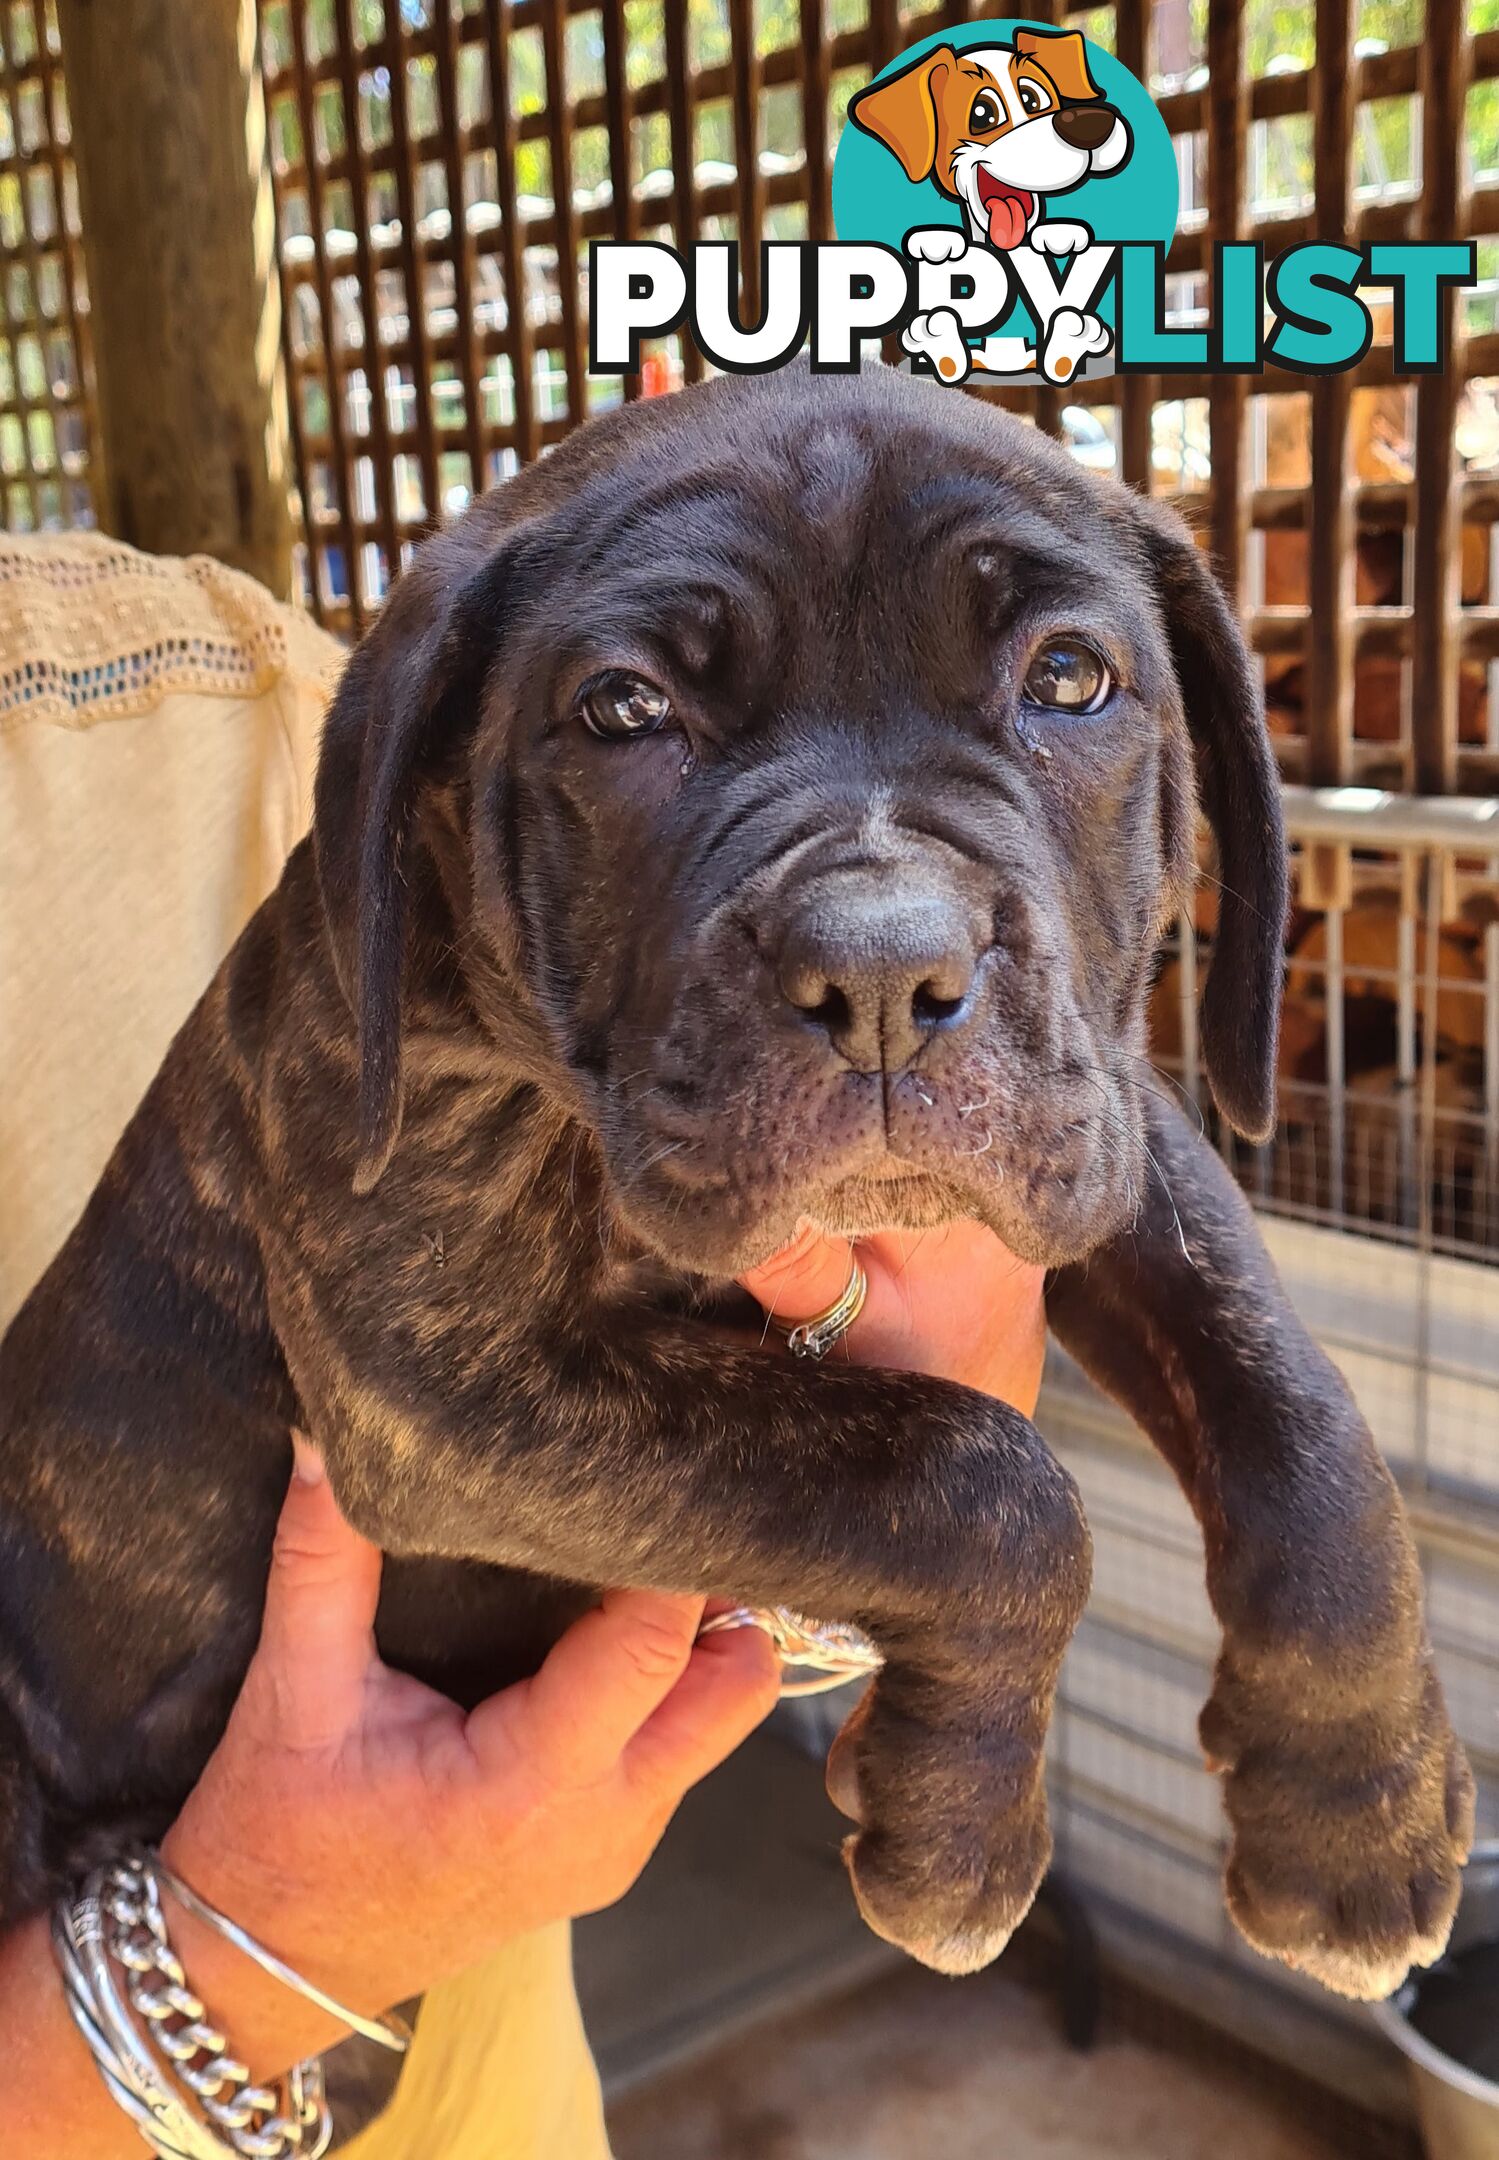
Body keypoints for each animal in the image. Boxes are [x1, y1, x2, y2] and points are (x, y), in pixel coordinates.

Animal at [0, 362, 1477, 1995]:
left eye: (1068, 678)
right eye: (623, 710)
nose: (884, 968)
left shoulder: (1096, 1117)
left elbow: (1290, 1396)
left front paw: (1352, 1812)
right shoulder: (440, 1391)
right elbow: (974, 1476)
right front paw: (956, 1832)